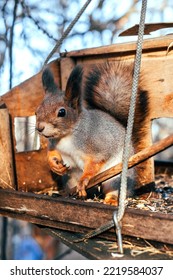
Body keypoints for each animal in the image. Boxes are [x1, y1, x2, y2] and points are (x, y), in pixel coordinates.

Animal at [35, 60, 149, 206]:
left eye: (62, 112)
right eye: (36, 111)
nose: (39, 128)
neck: (66, 136)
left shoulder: (98, 145)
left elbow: (96, 162)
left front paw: (84, 179)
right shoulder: (54, 144)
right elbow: (51, 153)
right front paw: (54, 165)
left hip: (116, 177)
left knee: (113, 190)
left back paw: (110, 199)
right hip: (71, 179)